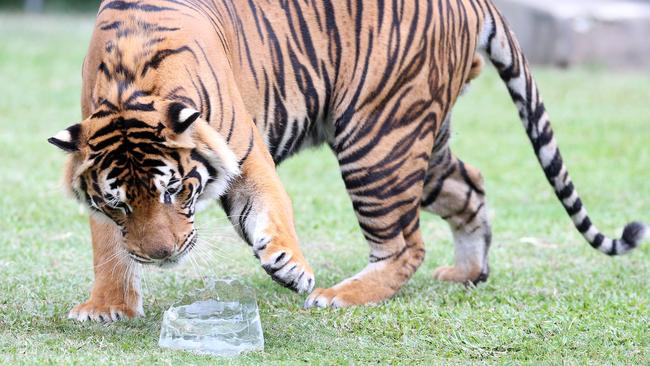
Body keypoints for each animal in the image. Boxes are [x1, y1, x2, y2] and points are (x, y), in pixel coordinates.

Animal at [49, 0, 644, 322]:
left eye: (175, 191)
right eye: (121, 205)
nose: (162, 256)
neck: (129, 86)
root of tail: (470, 4)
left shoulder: (246, 153)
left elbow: (271, 214)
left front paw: (290, 270)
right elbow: (107, 247)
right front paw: (106, 305)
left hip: (377, 143)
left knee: (405, 245)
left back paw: (340, 296)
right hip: (419, 143)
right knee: (471, 186)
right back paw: (467, 273)